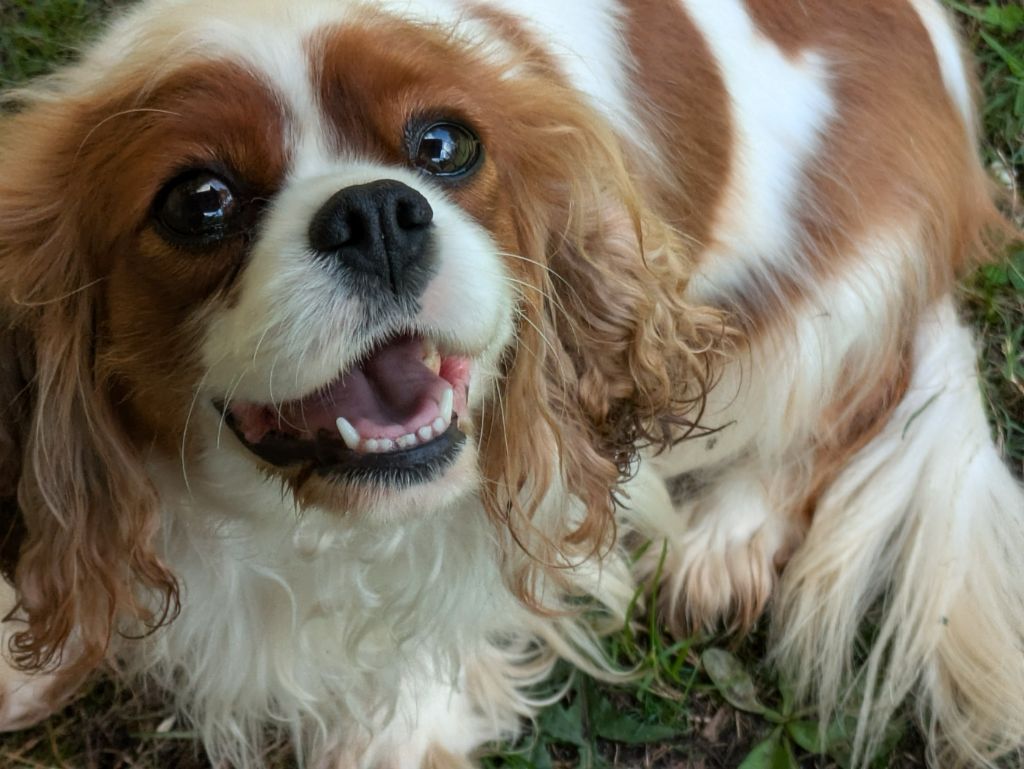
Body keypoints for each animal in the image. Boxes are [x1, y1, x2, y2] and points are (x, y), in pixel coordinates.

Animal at [0, 0, 1019, 765]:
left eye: (446, 145)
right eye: (199, 201)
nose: (377, 212)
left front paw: (400, 727)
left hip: (836, 299)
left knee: (851, 402)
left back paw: (730, 533)